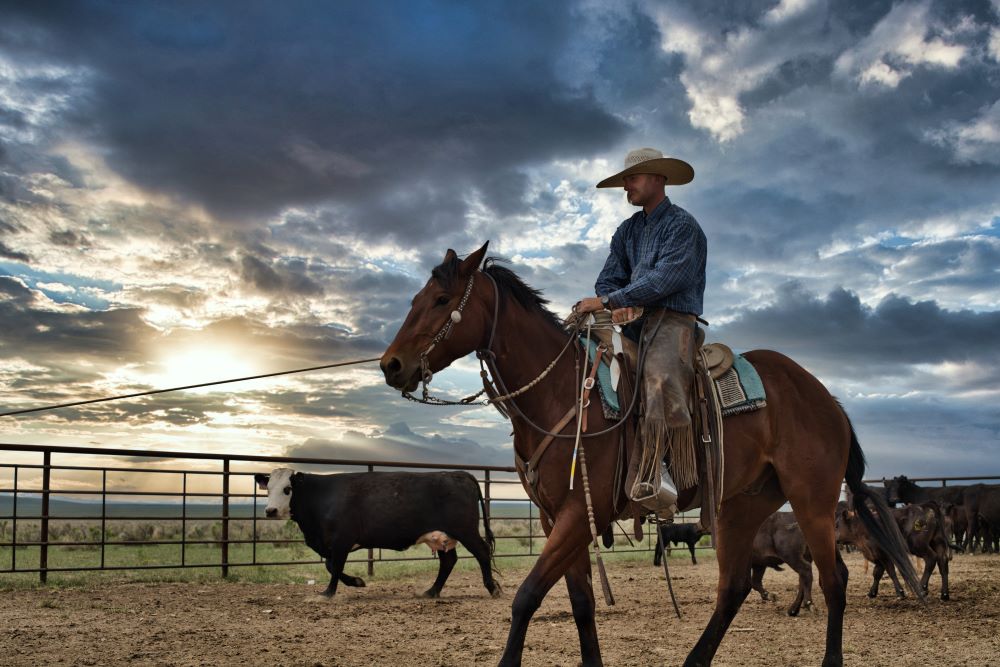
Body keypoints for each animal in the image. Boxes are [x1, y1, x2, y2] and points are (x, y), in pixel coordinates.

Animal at [254, 470, 504, 600]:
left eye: (287, 489)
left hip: (466, 530)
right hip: (441, 535)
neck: (321, 496)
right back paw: (431, 591)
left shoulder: (341, 540)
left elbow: (334, 566)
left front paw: (328, 592)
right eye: (268, 489)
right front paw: (356, 581)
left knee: (482, 553)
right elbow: (330, 565)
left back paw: (493, 588)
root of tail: (457, 473)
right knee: (449, 561)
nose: (270, 511)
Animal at [378, 245, 916, 667]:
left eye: (442, 300)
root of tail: (827, 399)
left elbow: (527, 597)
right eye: (416, 300)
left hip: (812, 499)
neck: (562, 393)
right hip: (741, 505)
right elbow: (582, 603)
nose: (391, 365)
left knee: (833, 579)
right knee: (734, 587)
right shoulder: (557, 518)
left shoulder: (581, 514)